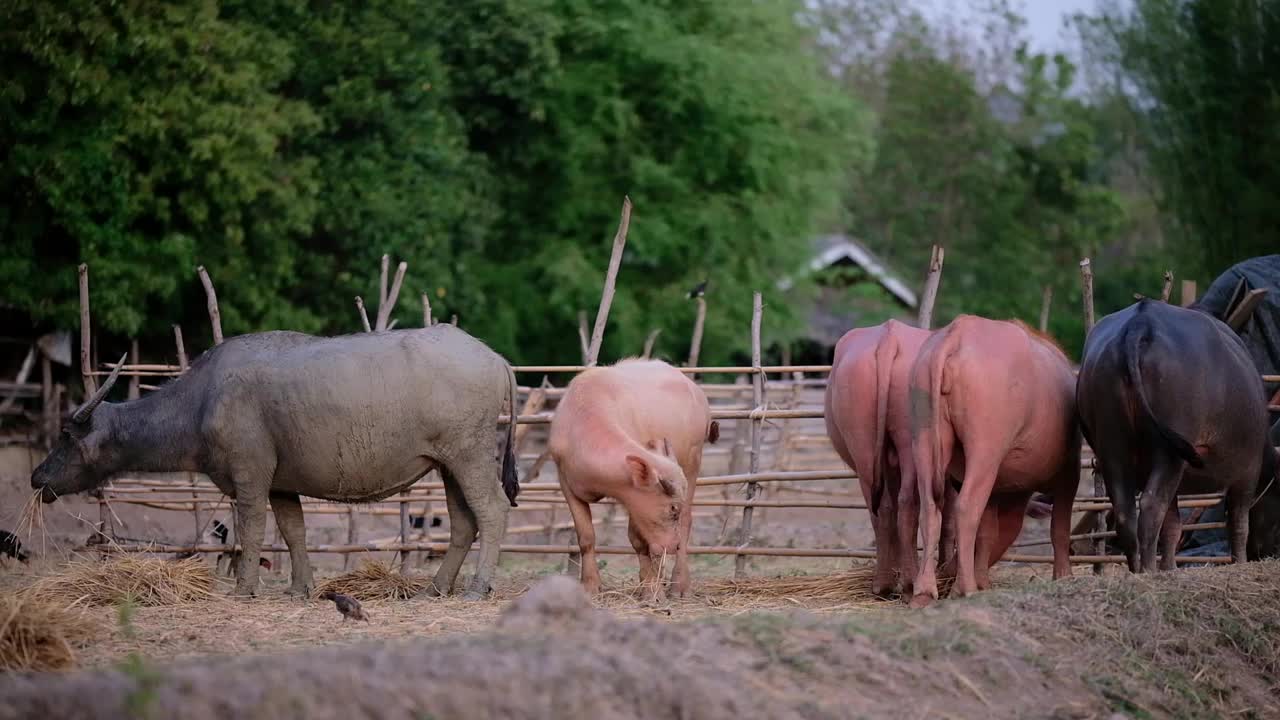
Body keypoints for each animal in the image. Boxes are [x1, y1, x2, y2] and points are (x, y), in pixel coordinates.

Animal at [32, 325, 517, 594]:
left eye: (65, 437)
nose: (37, 476)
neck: (203, 400)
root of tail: (495, 358)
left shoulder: (250, 478)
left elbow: (252, 531)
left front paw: (244, 588)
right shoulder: (283, 484)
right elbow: (293, 532)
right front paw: (301, 588)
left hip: (469, 454)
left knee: (492, 511)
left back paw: (477, 588)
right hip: (448, 465)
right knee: (464, 522)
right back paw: (433, 589)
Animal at [545, 358, 716, 599]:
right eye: (672, 508)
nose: (673, 547)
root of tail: (696, 392)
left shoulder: (632, 498)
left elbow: (638, 540)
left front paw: (651, 590)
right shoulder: (567, 484)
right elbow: (586, 537)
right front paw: (590, 585)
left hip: (693, 461)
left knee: (686, 523)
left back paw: (678, 584)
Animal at [911, 316, 1080, 602]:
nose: (948, 570)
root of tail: (959, 332)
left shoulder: (998, 487)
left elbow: (988, 533)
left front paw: (983, 581)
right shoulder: (1070, 471)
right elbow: (1059, 528)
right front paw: (1064, 576)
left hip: (924, 444)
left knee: (930, 510)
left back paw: (924, 591)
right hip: (985, 452)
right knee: (966, 508)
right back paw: (964, 588)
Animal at [1075, 298, 1264, 571]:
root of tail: (1140, 323)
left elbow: (1172, 526)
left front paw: (1170, 567)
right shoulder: (1248, 472)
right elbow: (1239, 524)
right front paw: (1239, 562)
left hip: (1112, 447)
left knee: (1126, 512)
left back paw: (1138, 571)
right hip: (1169, 453)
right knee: (1151, 507)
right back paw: (1149, 570)